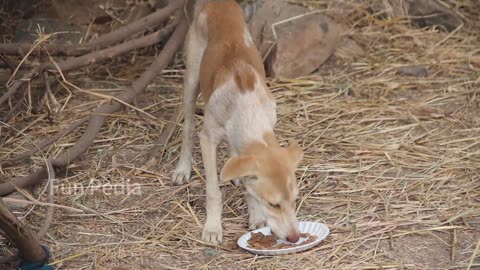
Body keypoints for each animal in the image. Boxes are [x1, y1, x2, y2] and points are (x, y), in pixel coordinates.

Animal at [171, 0, 302, 245]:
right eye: (273, 204)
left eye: (294, 200)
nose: (294, 238)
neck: (248, 107)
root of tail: (218, 3)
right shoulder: (208, 140)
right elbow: (213, 191)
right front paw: (213, 228)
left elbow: (249, 186)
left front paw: (256, 218)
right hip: (191, 79)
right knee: (188, 127)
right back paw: (183, 168)